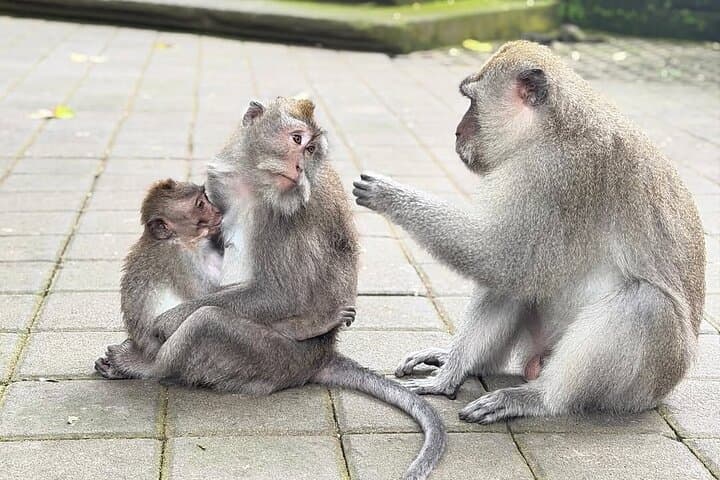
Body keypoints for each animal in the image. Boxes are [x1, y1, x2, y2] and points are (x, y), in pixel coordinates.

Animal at [95, 179, 356, 380]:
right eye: (200, 205)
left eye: (204, 197)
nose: (218, 211)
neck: (184, 240)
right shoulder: (178, 259)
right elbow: (206, 295)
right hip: (174, 356)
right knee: (204, 319)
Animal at [352, 40, 705, 424]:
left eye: (472, 102)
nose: (457, 132)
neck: (551, 128)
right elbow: (506, 269)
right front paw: (447, 372)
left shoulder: (553, 177)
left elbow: (502, 256)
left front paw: (390, 195)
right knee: (522, 283)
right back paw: (458, 367)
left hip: (644, 384)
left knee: (646, 304)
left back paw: (538, 398)